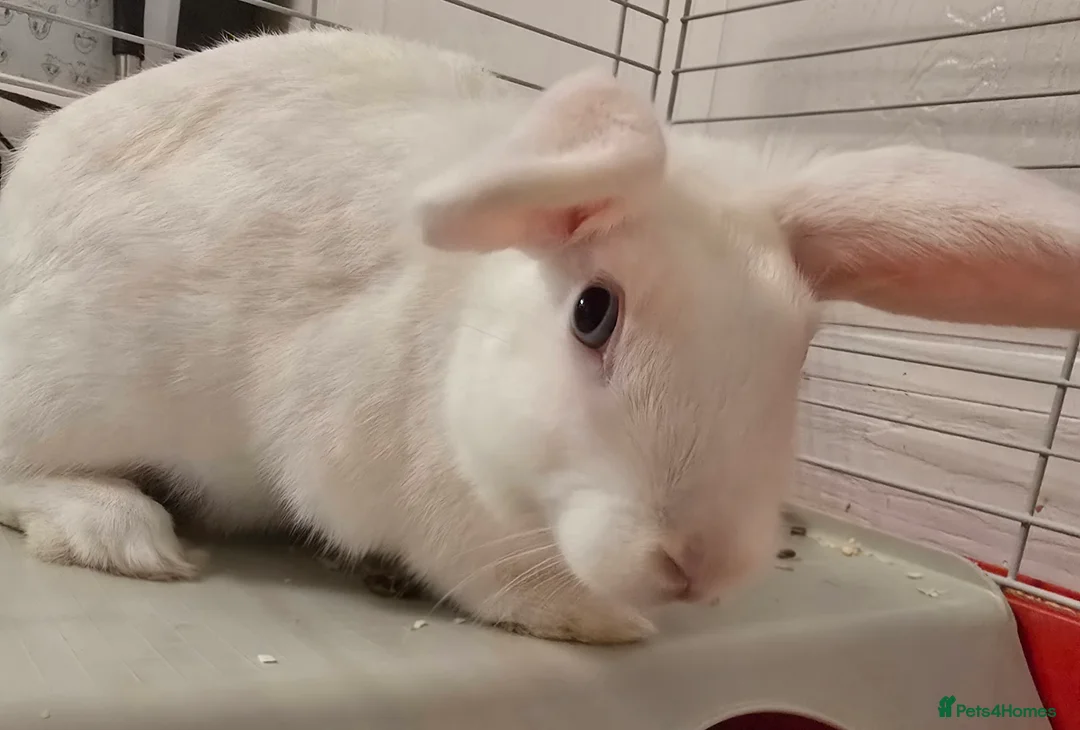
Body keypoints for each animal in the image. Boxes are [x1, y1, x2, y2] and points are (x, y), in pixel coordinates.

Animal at [1, 28, 1079, 646]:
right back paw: (122, 531)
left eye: (800, 346)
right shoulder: (396, 480)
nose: (697, 565)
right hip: (69, 382)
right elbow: (486, 575)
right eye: (592, 311)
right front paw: (604, 621)